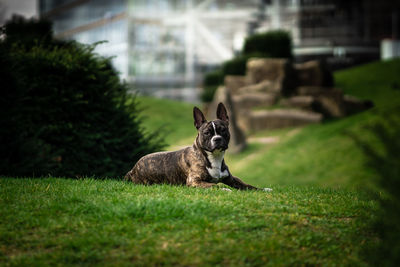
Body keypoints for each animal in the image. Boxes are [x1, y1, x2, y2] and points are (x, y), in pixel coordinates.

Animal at [125, 102, 268, 191]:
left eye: (223, 130)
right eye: (207, 133)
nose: (217, 139)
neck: (213, 157)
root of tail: (133, 169)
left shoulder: (231, 179)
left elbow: (248, 185)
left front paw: (264, 189)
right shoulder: (194, 181)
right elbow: (214, 186)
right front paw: (224, 189)